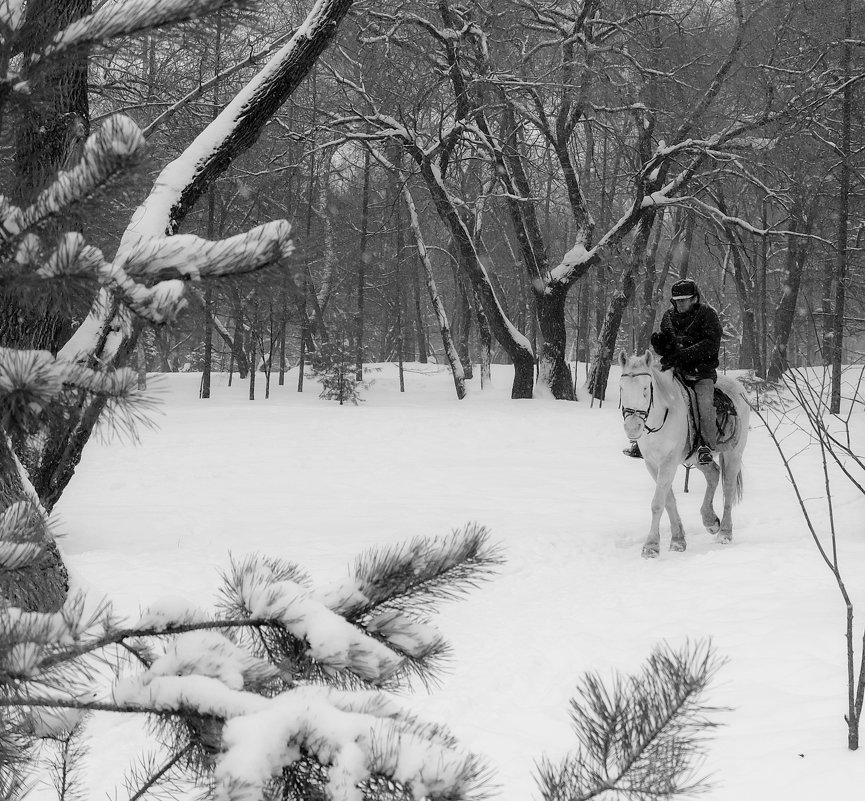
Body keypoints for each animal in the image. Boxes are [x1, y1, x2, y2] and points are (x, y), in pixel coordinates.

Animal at [616, 350, 748, 556]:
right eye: (622, 388)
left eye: (646, 388)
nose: (632, 427)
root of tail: (738, 387)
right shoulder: (652, 464)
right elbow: (668, 500)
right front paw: (678, 540)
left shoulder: (668, 462)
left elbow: (657, 503)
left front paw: (651, 547)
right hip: (697, 458)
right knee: (713, 474)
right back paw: (710, 521)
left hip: (734, 454)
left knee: (728, 488)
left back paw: (724, 533)